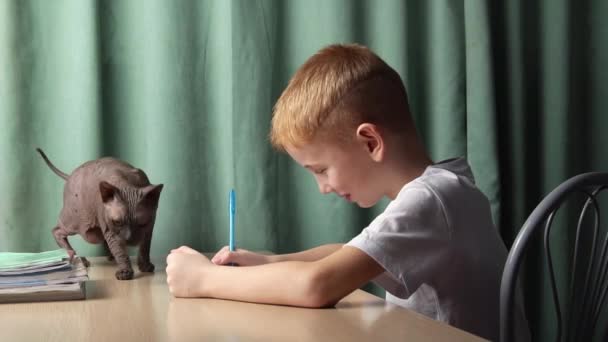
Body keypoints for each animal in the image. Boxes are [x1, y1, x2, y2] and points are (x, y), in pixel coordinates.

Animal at [36, 148, 163, 280]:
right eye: (117, 222)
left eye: (142, 223)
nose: (129, 239)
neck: (128, 182)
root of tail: (70, 175)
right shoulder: (110, 229)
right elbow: (120, 250)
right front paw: (125, 272)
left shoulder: (150, 226)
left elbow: (145, 247)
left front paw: (145, 267)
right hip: (74, 222)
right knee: (56, 231)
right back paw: (76, 257)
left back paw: (109, 257)